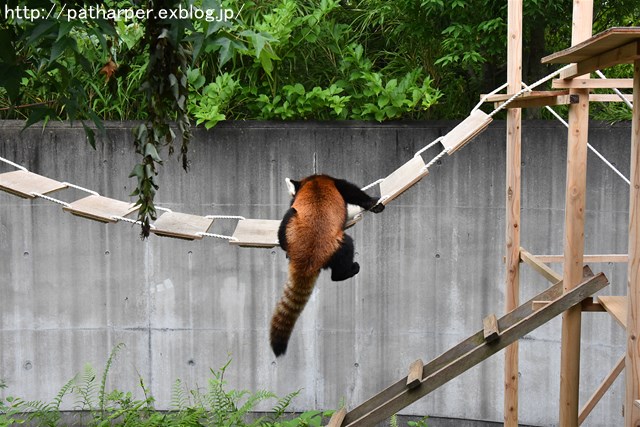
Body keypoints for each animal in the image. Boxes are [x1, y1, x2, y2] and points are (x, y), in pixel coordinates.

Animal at [270, 175, 384, 358]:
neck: (313, 179)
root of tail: (308, 258)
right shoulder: (335, 182)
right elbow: (354, 192)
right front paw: (374, 203)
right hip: (336, 245)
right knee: (347, 248)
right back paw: (348, 271)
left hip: (290, 224)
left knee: (286, 221)